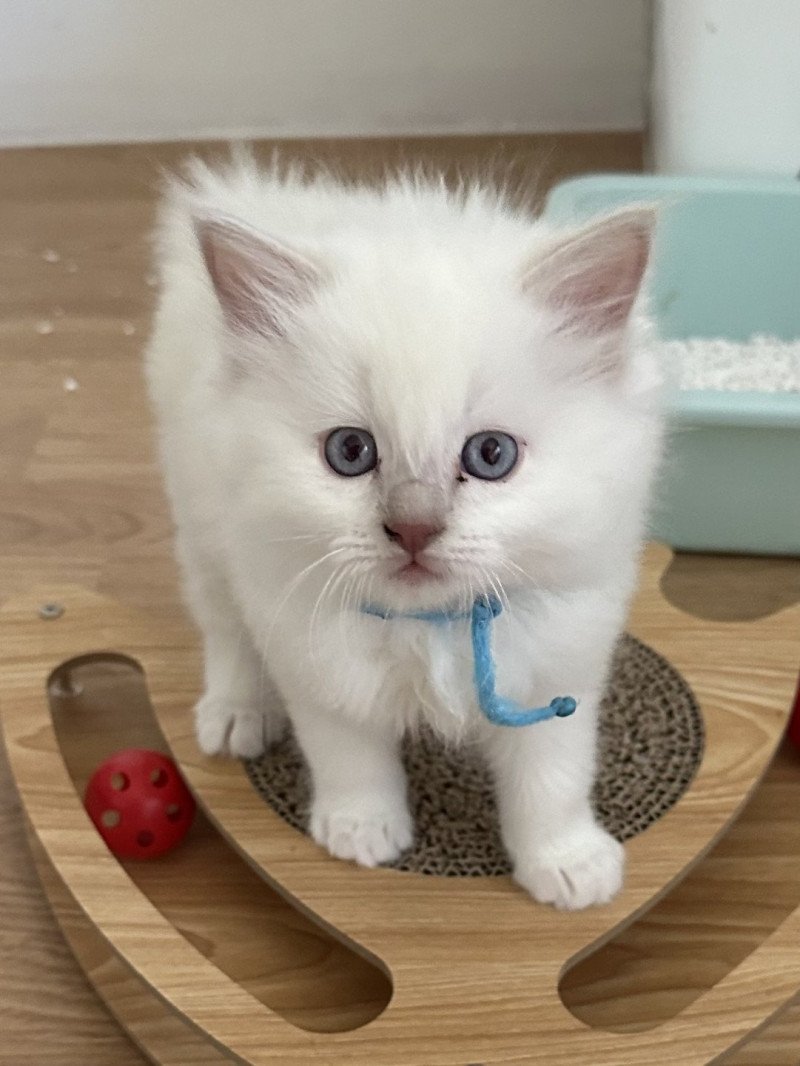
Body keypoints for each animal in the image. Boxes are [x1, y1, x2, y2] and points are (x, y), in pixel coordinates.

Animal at [144, 155, 665, 908]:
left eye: (491, 455)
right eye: (350, 452)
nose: (414, 528)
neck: (434, 625)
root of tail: (265, 193)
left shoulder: (558, 667)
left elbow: (552, 782)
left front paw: (567, 865)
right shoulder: (314, 653)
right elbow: (349, 753)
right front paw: (361, 832)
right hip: (207, 528)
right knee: (225, 629)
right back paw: (238, 714)